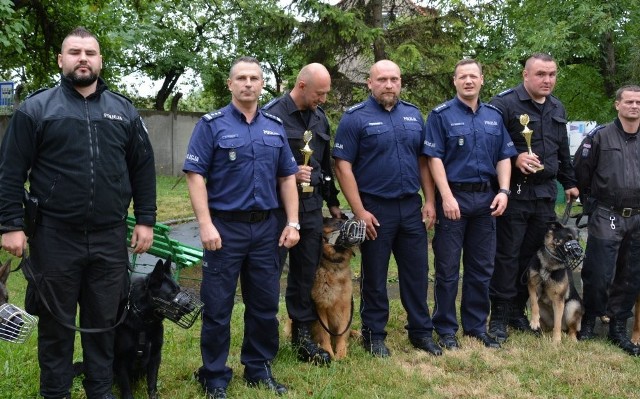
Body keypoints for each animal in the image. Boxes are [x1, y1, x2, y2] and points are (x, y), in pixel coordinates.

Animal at [310, 217, 364, 360]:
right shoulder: (320, 308)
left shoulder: (346, 306)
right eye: (338, 223)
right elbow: (324, 333)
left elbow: (342, 332)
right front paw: (328, 352)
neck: (334, 266)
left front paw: (341, 353)